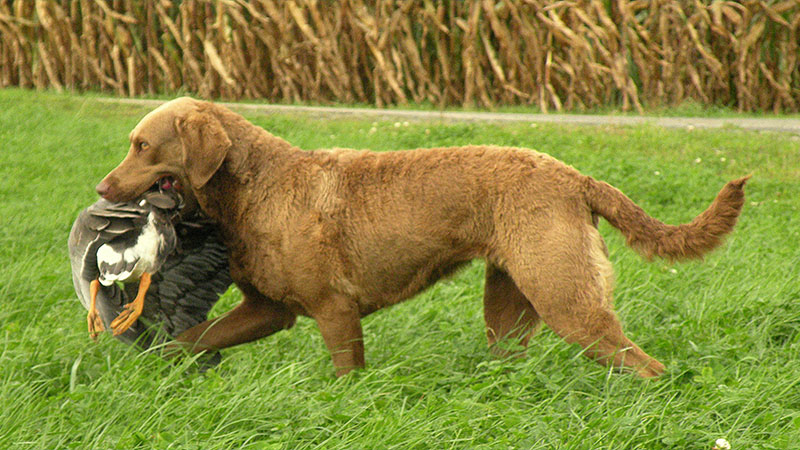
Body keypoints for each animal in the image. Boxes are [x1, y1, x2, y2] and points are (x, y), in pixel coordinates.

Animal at [95, 97, 752, 376]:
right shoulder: (269, 309)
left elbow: (346, 373)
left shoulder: (334, 309)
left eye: (143, 145)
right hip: (508, 304)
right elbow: (191, 339)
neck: (255, 186)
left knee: (644, 364)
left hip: (566, 296)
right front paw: (148, 367)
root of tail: (574, 177)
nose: (101, 187)